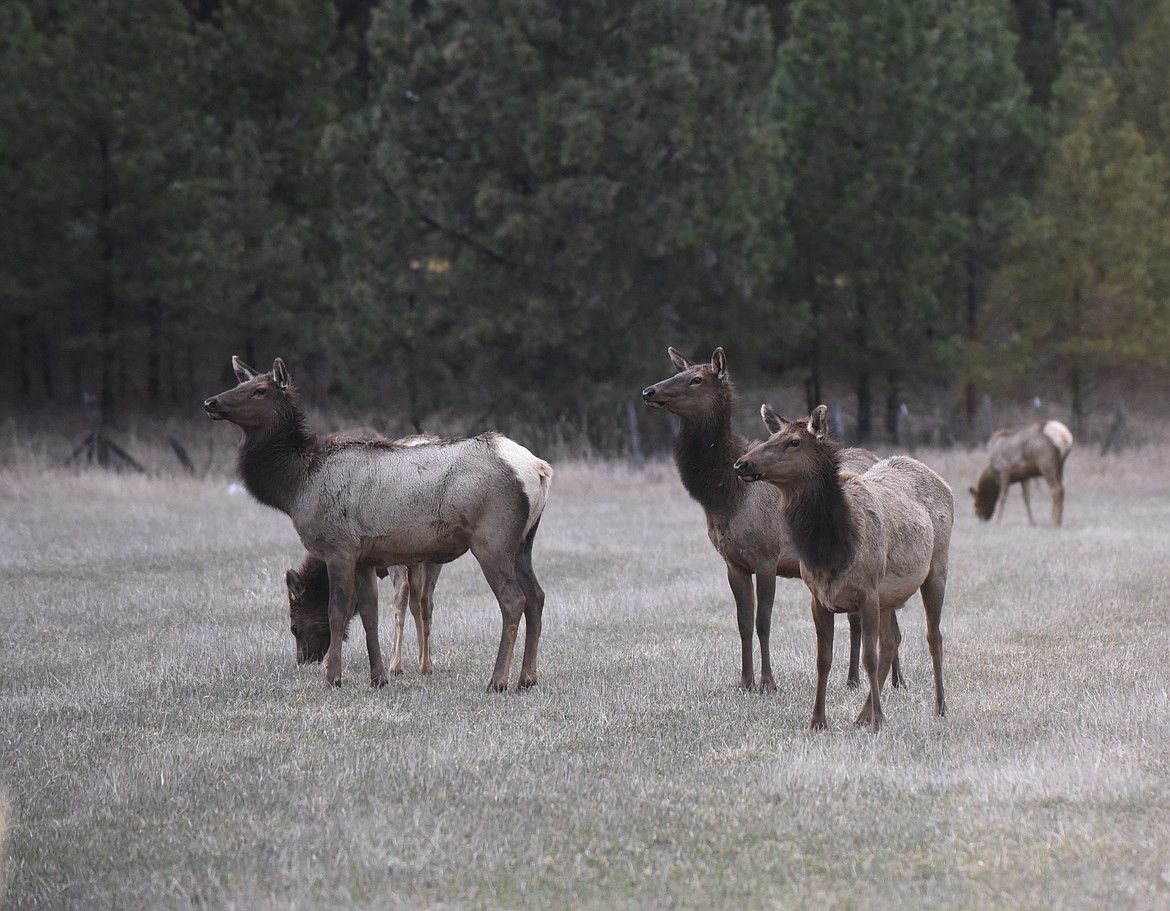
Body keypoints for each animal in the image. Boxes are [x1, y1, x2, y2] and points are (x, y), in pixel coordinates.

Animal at [205, 355, 552, 692]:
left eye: (260, 390)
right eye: (241, 383)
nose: (210, 402)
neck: (297, 486)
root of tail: (538, 469)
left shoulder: (339, 546)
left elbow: (338, 612)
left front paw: (333, 678)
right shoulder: (365, 556)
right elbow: (370, 615)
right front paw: (379, 678)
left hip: (492, 538)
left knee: (513, 599)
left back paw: (498, 681)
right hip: (523, 541)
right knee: (536, 596)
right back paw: (527, 678)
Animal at [641, 348, 903, 692]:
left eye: (696, 379)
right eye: (676, 373)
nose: (649, 391)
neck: (725, 497)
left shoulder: (767, 556)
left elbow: (763, 622)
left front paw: (768, 682)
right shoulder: (733, 562)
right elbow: (743, 622)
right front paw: (744, 681)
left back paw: (893, 681)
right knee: (860, 618)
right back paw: (858, 680)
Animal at [734, 406, 954, 734]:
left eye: (794, 442)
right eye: (771, 436)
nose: (741, 463)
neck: (831, 551)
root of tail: (943, 482)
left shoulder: (868, 590)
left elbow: (869, 657)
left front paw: (879, 721)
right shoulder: (818, 597)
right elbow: (824, 659)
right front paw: (817, 720)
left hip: (936, 567)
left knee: (933, 636)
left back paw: (939, 708)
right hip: (889, 594)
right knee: (893, 640)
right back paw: (862, 715)